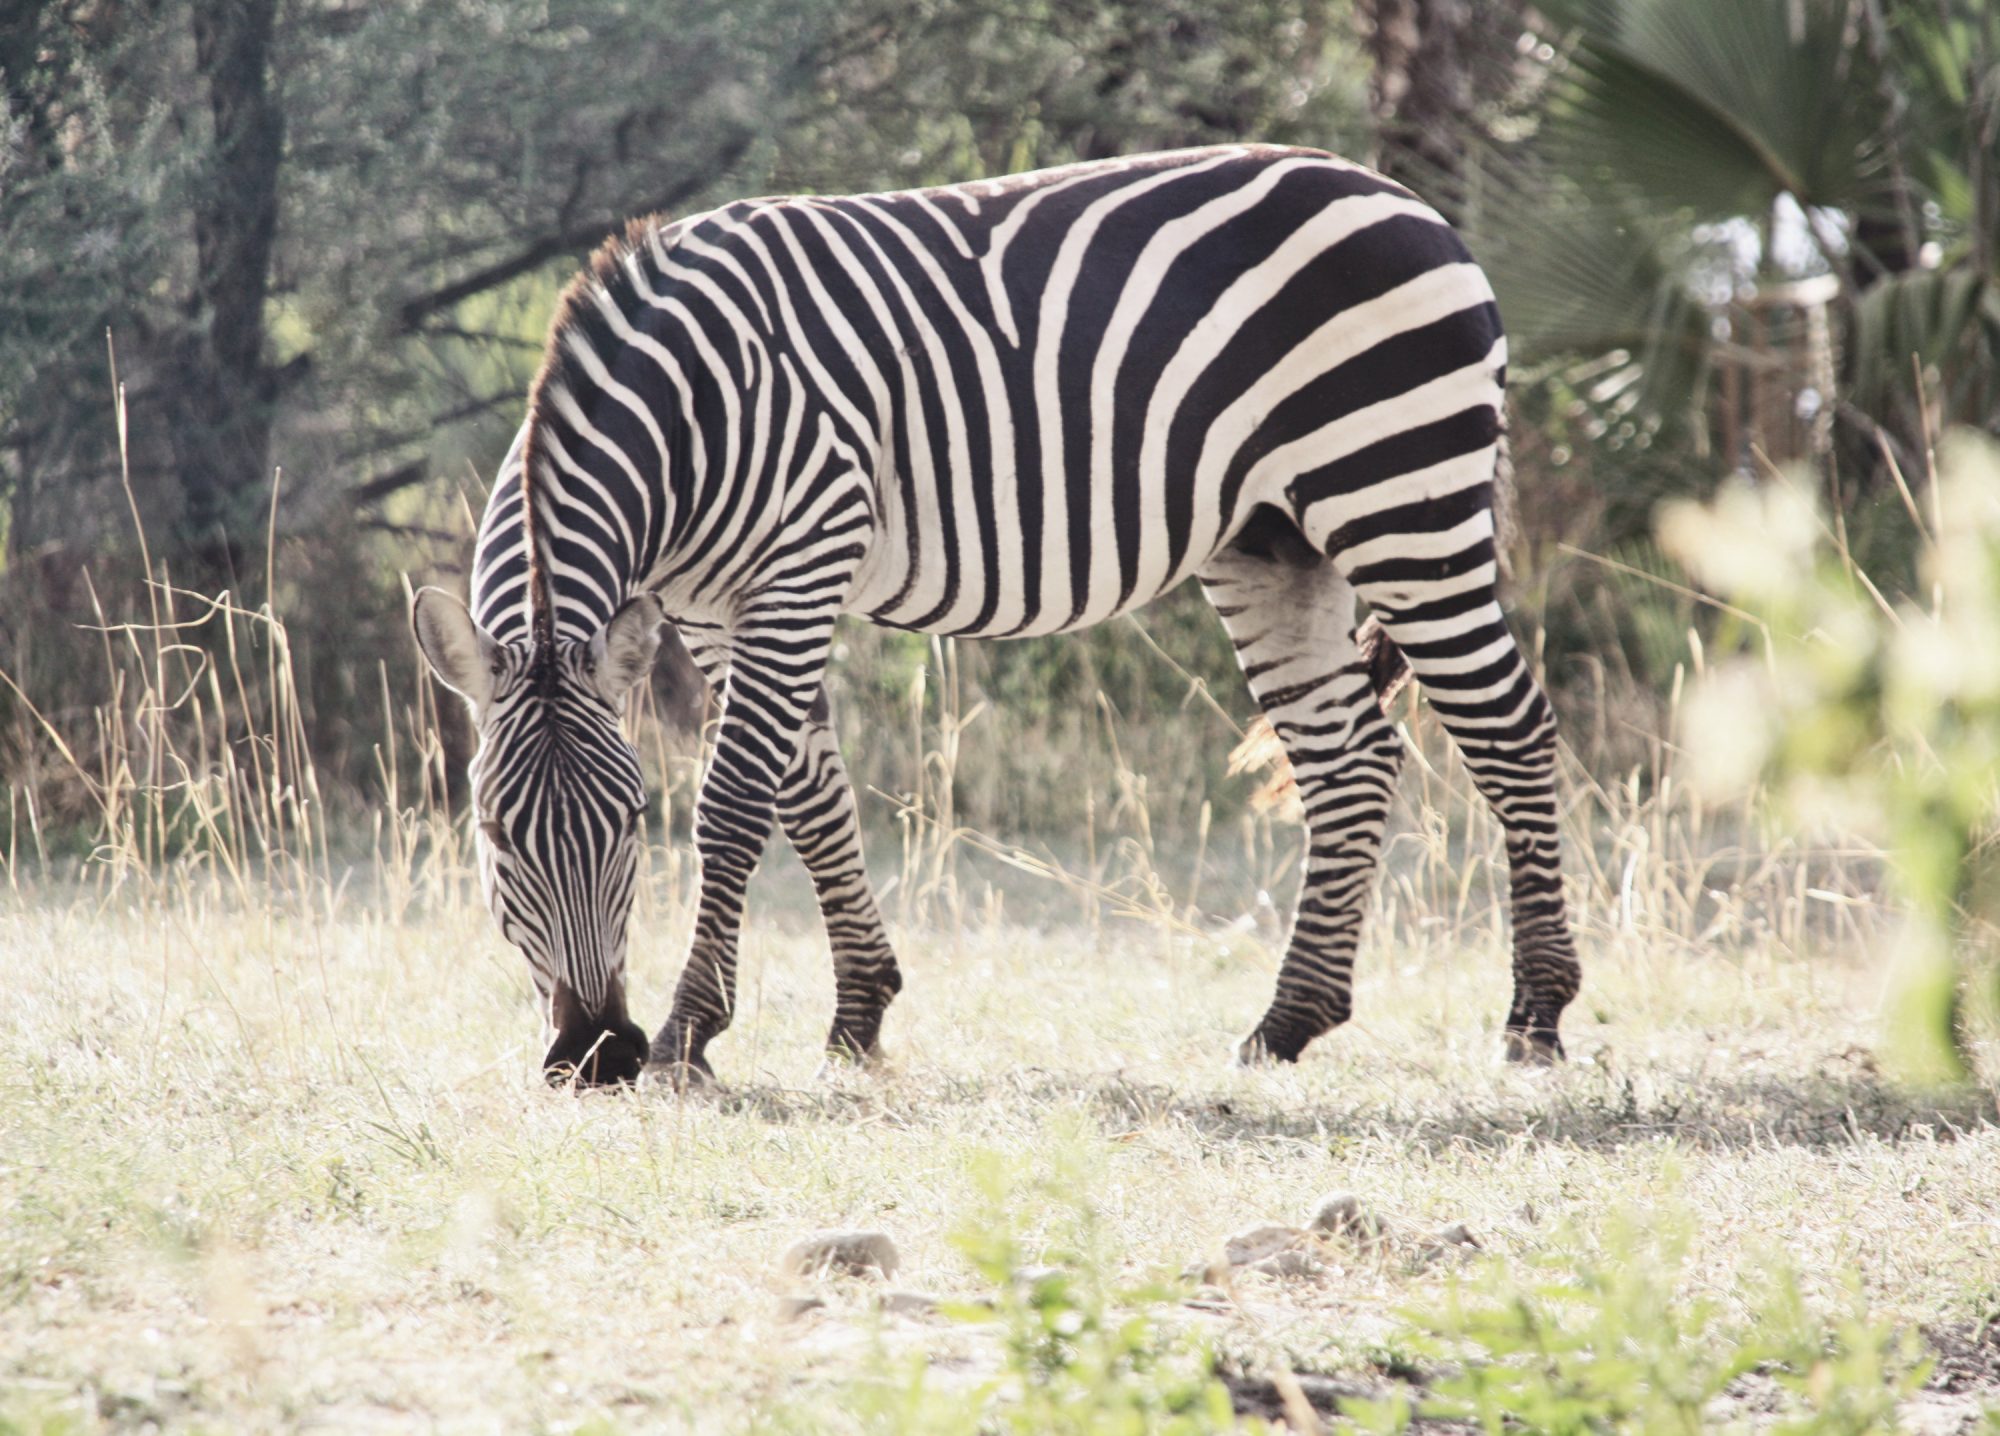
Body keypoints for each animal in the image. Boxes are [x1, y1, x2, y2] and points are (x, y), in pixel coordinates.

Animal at [410, 144, 1582, 1087]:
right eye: (496, 835)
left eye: (624, 827)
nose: (598, 1054)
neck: (691, 417)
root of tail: (1412, 204)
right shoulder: (708, 606)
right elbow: (810, 793)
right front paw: (858, 1015)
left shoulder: (800, 561)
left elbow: (738, 801)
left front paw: (691, 1033)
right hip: (1274, 541)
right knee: (1350, 760)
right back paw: (1285, 1024)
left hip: (1397, 493)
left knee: (1511, 733)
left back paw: (1534, 1017)